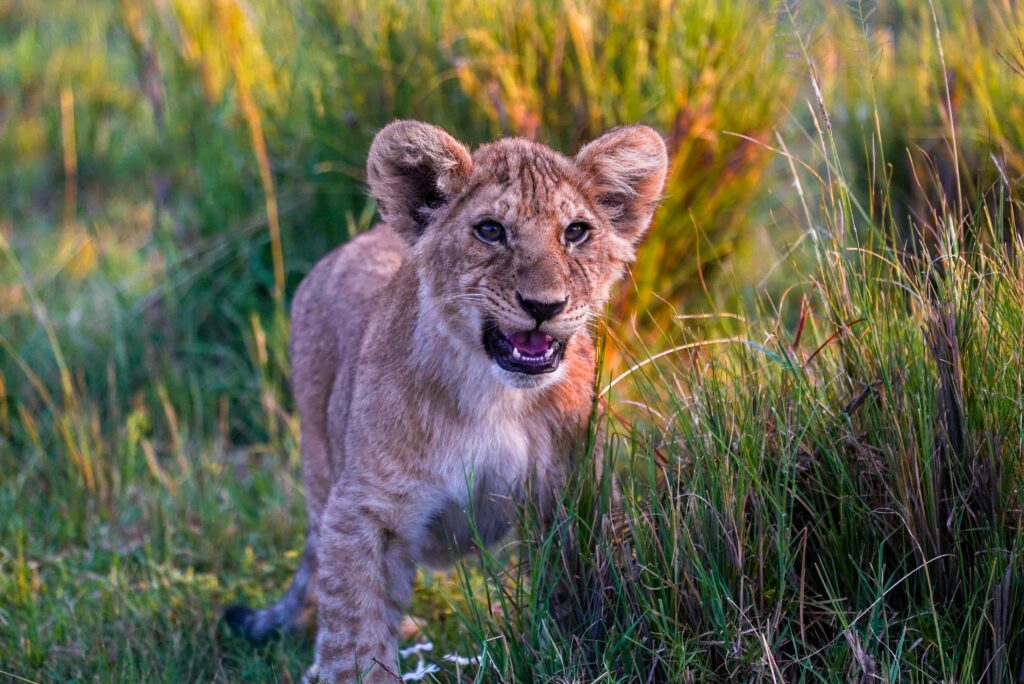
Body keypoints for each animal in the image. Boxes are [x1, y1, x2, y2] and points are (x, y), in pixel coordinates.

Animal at [226, 120, 668, 682]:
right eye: (490, 230)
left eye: (575, 232)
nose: (544, 306)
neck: (494, 396)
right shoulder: (363, 510)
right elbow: (355, 633)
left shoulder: (573, 496)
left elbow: (579, 597)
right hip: (322, 467)